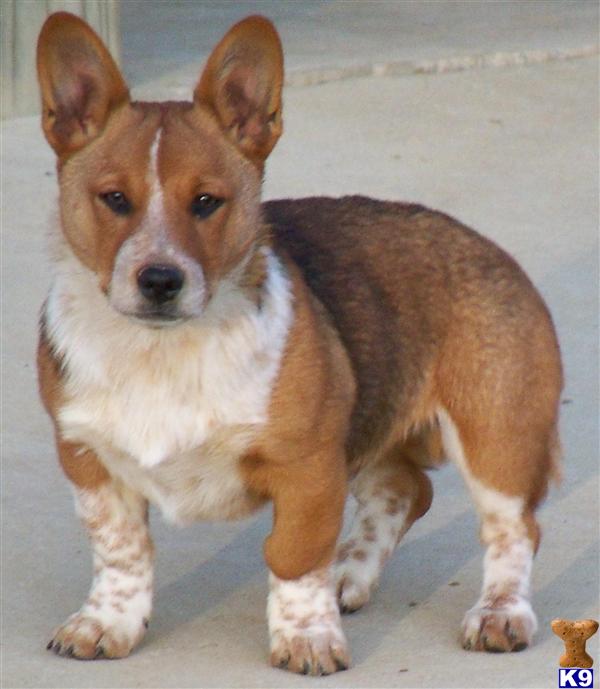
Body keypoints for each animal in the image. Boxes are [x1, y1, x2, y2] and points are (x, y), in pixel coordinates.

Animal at [37, 12, 564, 676]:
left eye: (206, 202)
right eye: (114, 199)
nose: (160, 280)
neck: (163, 352)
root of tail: (490, 247)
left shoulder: (308, 467)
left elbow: (292, 553)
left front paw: (307, 637)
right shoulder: (89, 460)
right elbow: (121, 551)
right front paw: (107, 623)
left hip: (494, 439)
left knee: (513, 530)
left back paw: (498, 612)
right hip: (367, 427)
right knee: (405, 490)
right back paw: (348, 573)